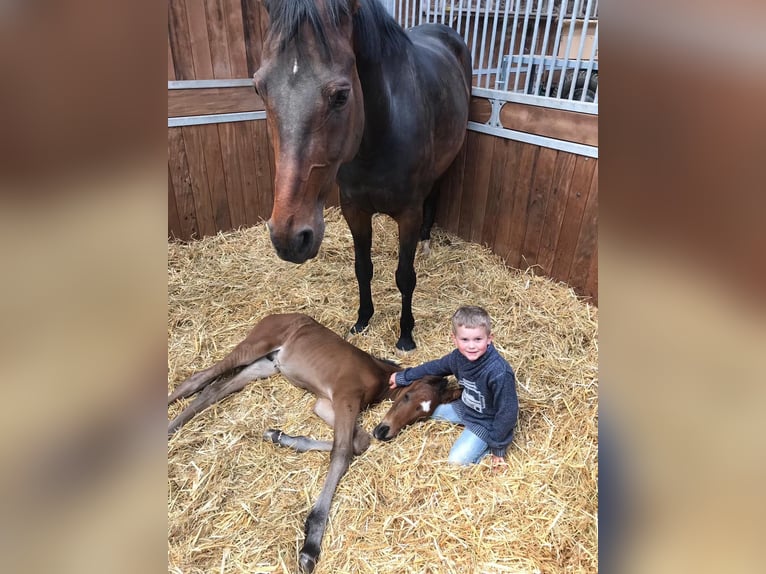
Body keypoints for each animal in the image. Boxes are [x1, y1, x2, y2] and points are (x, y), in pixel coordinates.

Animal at [167, 313, 458, 573]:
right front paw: (310, 546)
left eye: (422, 416)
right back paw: (167, 427)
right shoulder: (344, 397)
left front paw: (278, 436)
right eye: (407, 396)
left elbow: (358, 442)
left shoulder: (325, 404)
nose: (385, 432)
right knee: (197, 379)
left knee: (213, 390)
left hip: (265, 366)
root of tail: (281, 313)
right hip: (253, 347)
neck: (376, 373)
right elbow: (343, 452)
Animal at [254, 0, 472, 351]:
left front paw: (405, 335)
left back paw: (426, 241)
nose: (289, 238)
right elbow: (362, 268)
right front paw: (362, 320)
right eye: (259, 88)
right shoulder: (354, 209)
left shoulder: (408, 214)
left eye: (341, 95)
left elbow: (404, 276)